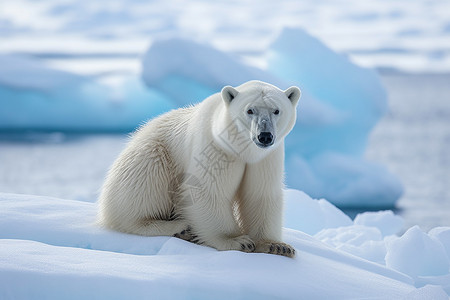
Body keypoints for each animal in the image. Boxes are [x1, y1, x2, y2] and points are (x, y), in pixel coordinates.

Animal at [99, 80, 302, 258]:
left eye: (276, 110)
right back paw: (179, 227)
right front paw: (237, 240)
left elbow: (261, 195)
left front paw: (276, 246)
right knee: (146, 179)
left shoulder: (265, 158)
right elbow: (207, 190)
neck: (242, 150)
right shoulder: (215, 147)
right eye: (250, 110)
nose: (265, 135)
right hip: (153, 153)